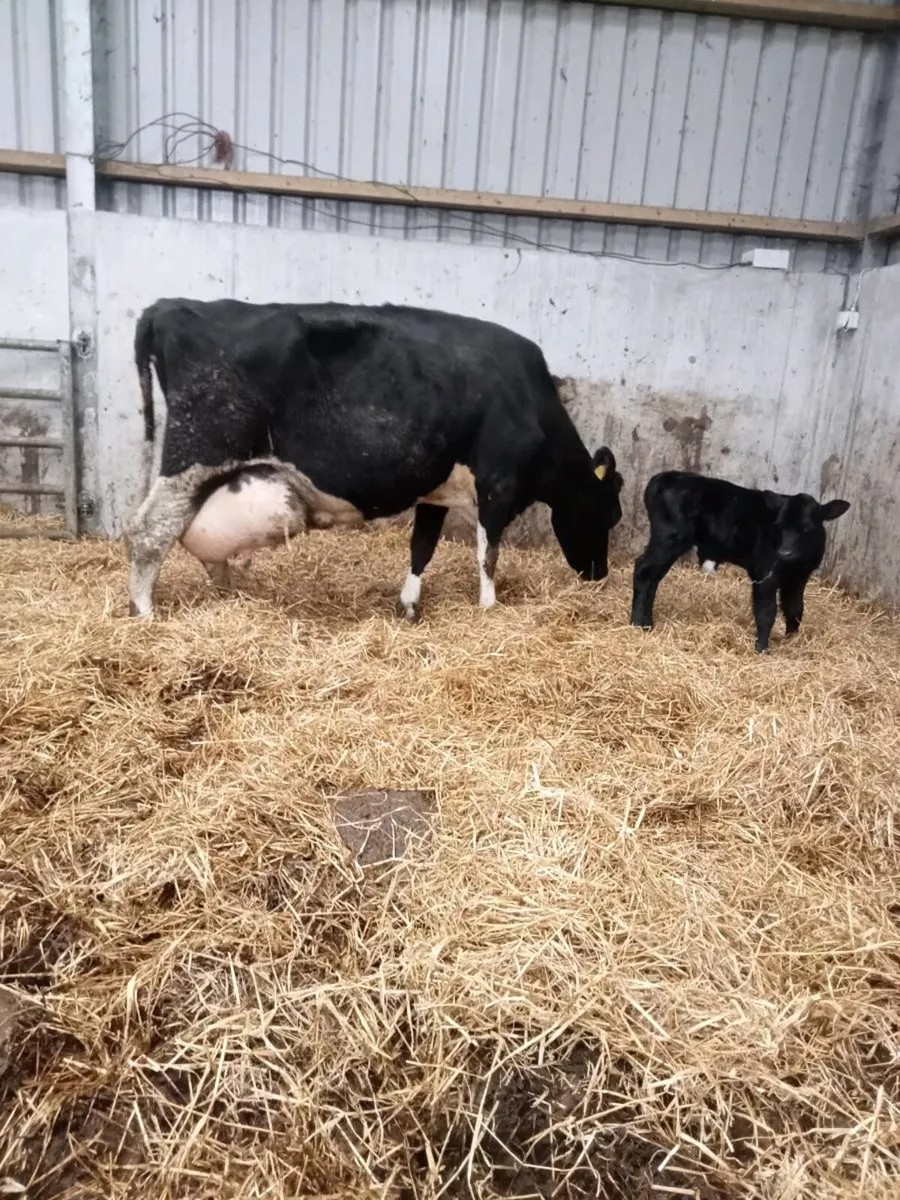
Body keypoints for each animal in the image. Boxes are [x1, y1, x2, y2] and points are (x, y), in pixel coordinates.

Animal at [125, 299, 624, 620]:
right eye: (611, 514)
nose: (598, 574)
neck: (529, 400)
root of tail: (169, 306)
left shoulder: (435, 491)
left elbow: (422, 547)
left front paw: (409, 605)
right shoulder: (497, 483)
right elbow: (488, 554)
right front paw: (489, 608)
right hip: (194, 455)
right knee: (149, 530)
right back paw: (144, 613)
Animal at [630, 470, 850, 652]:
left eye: (806, 528)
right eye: (778, 525)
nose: (784, 553)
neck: (794, 564)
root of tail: (665, 477)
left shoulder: (799, 578)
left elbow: (795, 608)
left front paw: (792, 639)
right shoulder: (764, 573)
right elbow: (766, 611)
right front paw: (761, 648)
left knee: (653, 578)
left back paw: (647, 623)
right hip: (668, 539)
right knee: (644, 571)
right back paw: (637, 623)